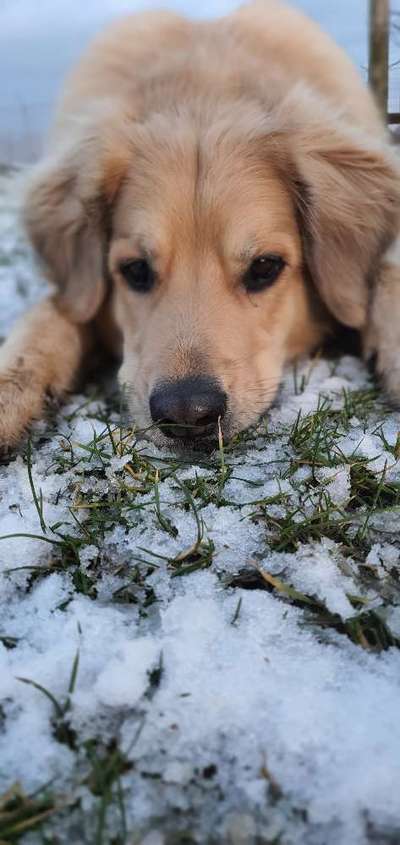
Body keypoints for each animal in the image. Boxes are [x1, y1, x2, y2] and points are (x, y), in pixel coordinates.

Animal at [0, 0, 400, 448]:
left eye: (264, 267)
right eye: (135, 270)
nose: (187, 415)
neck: (204, 92)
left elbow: (386, 275)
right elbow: (45, 320)